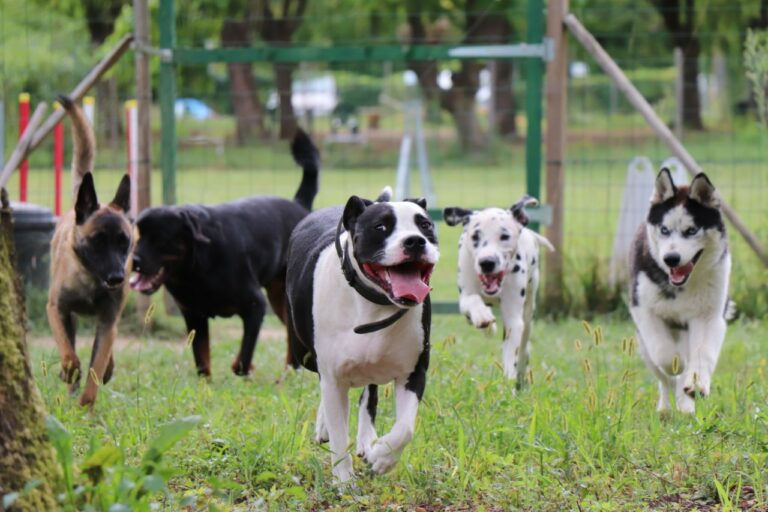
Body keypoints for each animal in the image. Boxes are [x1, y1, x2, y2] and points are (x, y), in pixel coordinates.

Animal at [47, 95, 134, 408]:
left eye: (125, 242)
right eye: (97, 241)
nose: (117, 278)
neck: (90, 280)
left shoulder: (108, 320)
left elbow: (96, 367)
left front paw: (86, 405)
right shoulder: (56, 309)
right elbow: (69, 354)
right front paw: (69, 371)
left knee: (107, 348)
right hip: (69, 316)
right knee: (71, 345)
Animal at [132, 129, 318, 376]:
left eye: (160, 239)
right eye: (137, 236)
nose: (133, 261)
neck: (195, 268)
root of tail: (299, 205)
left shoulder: (255, 306)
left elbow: (241, 360)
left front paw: (247, 368)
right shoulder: (194, 316)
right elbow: (202, 361)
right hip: (280, 297)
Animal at [284, 190, 438, 482]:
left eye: (425, 225)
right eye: (380, 227)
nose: (415, 241)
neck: (375, 303)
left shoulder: (414, 372)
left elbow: (405, 429)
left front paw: (382, 458)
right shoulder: (332, 375)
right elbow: (338, 436)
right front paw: (344, 483)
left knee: (370, 393)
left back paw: (367, 441)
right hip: (304, 355)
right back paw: (324, 425)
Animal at [440, 196, 556, 388]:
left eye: (505, 236)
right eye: (475, 236)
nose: (487, 262)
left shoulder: (513, 319)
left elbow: (511, 355)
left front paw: (507, 383)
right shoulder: (464, 299)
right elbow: (473, 301)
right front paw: (484, 318)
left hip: (529, 310)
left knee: (524, 346)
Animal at [632, 170, 732, 414]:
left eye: (691, 230)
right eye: (664, 229)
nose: (671, 259)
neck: (682, 285)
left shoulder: (709, 317)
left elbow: (702, 354)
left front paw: (696, 384)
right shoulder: (643, 310)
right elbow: (664, 354)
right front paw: (677, 363)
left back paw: (686, 406)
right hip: (643, 345)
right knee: (663, 378)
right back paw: (665, 409)